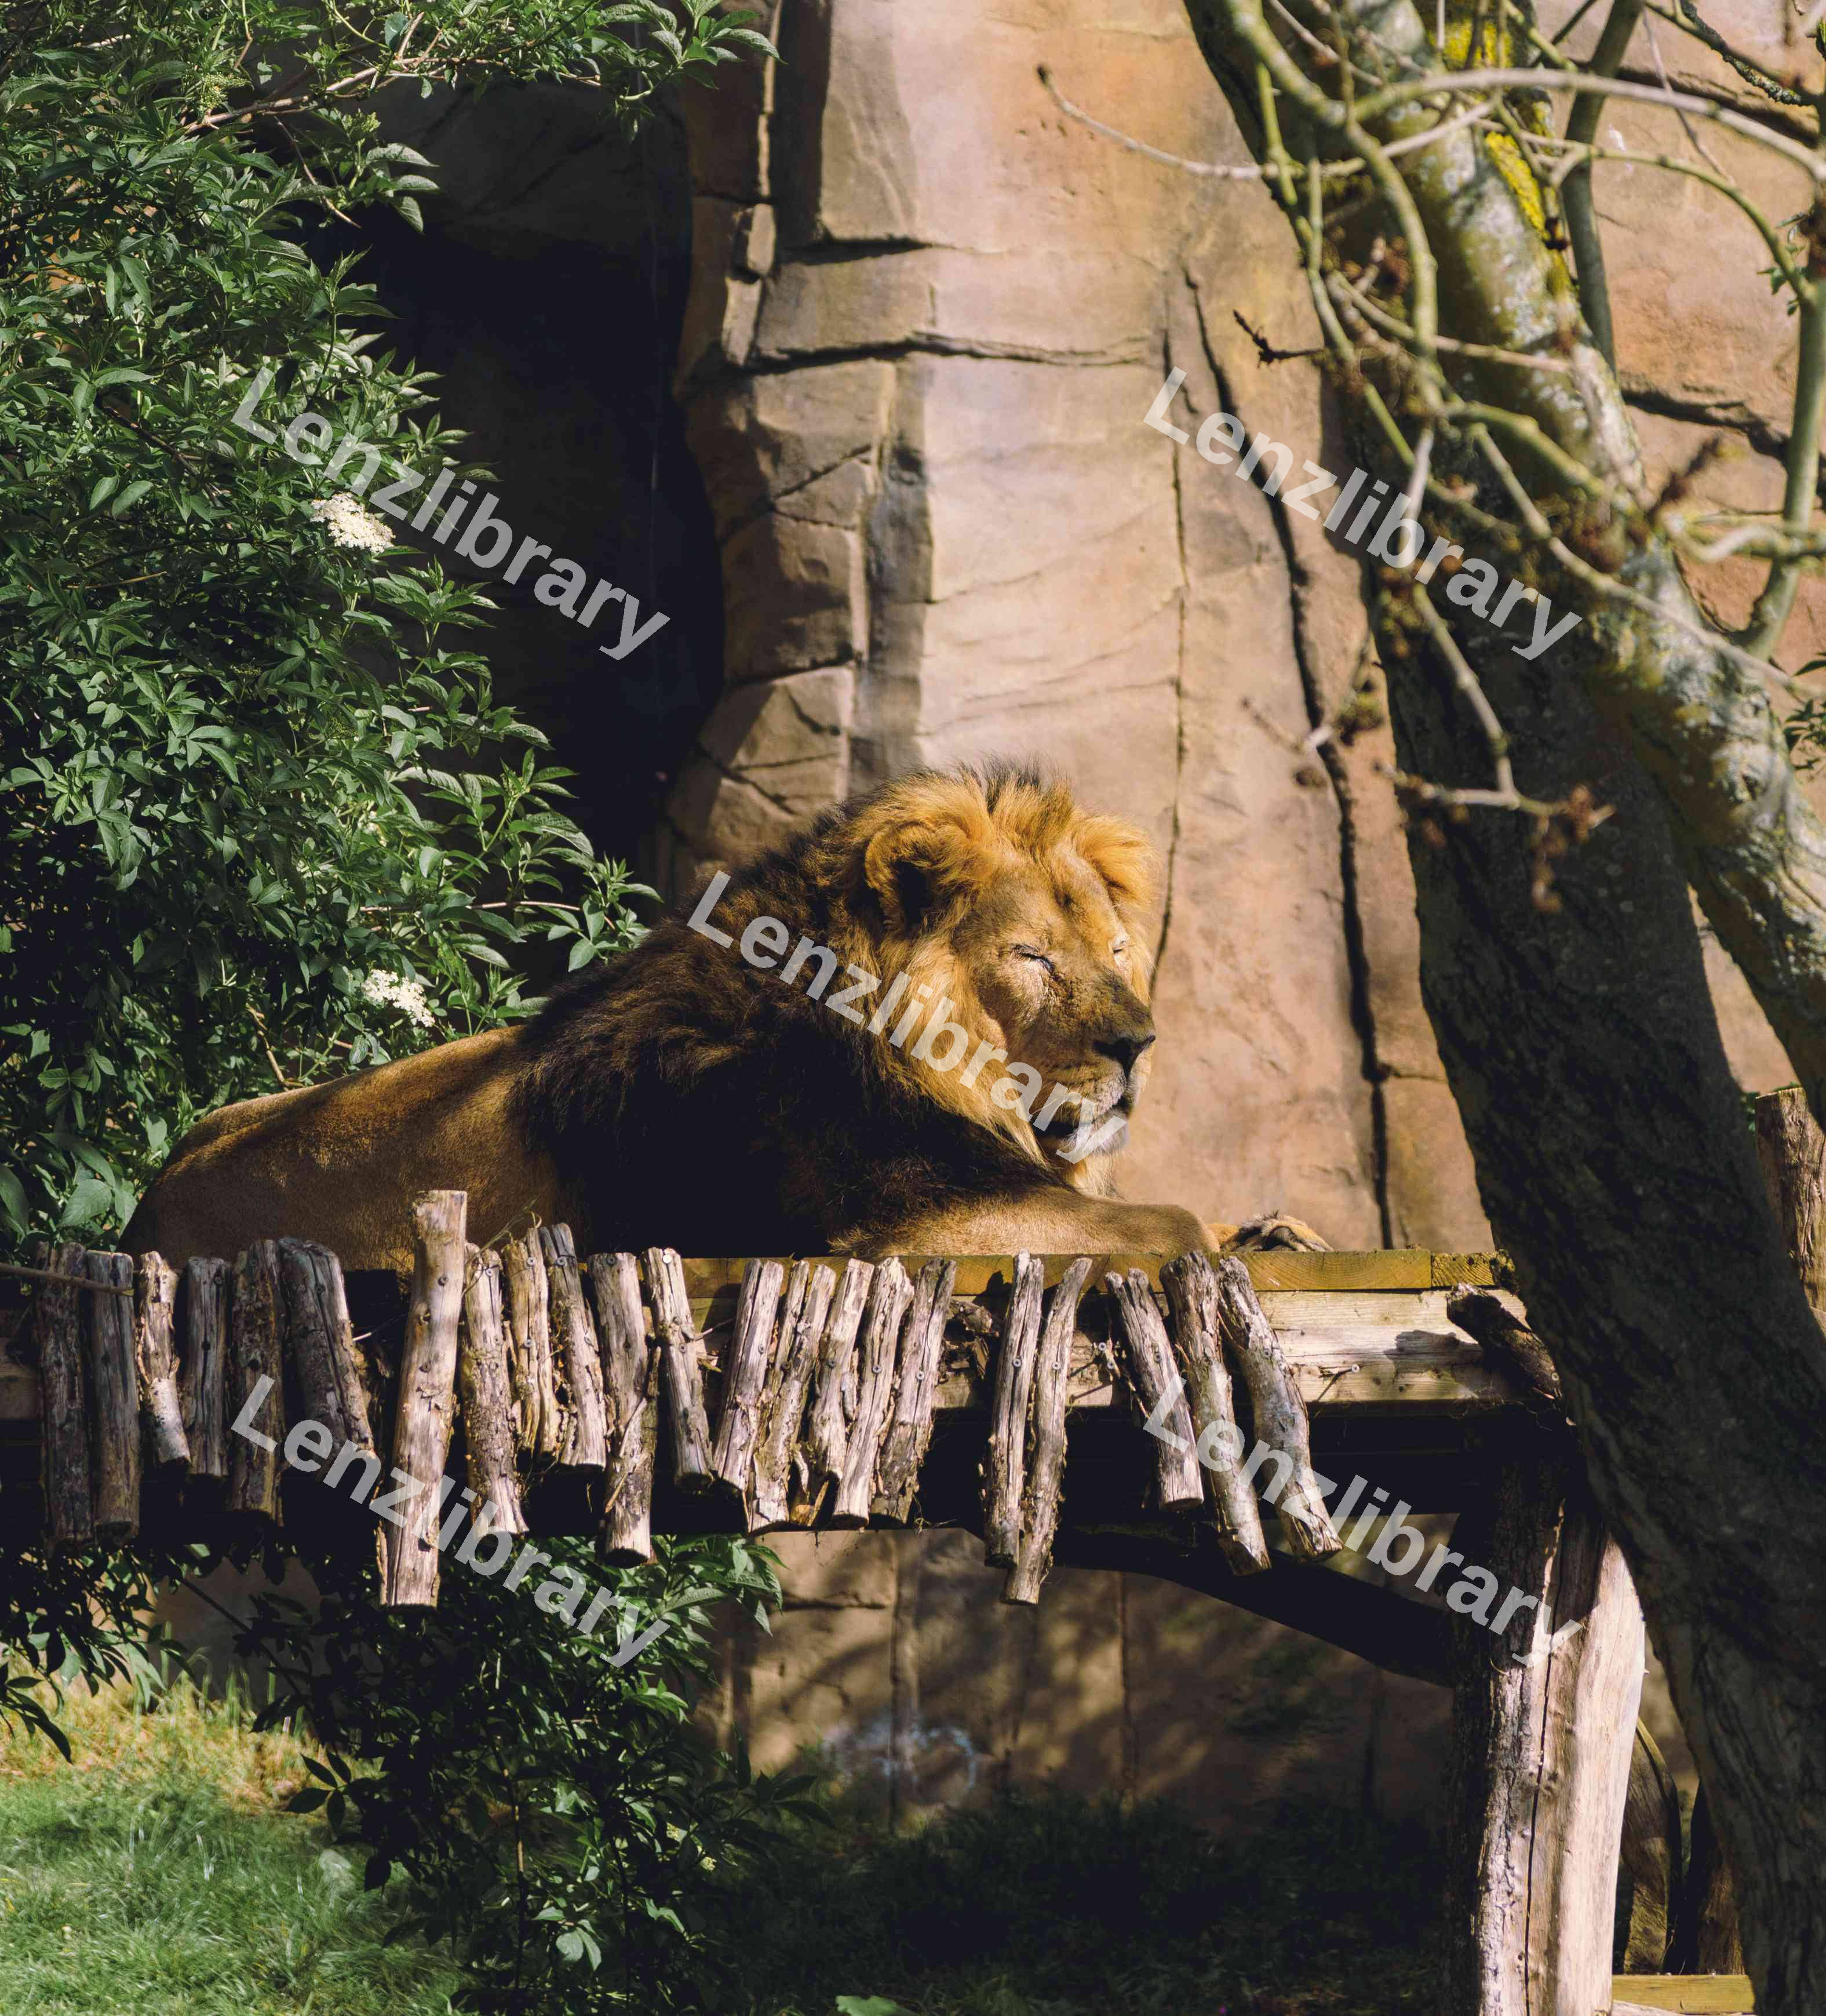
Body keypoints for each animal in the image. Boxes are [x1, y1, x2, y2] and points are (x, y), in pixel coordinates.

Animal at [126, 764, 1321, 1268]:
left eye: (1114, 953)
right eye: (1032, 958)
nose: (1138, 1045)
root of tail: (144, 1209)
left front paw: (1279, 1227)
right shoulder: (901, 1224)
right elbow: (1170, 1225)